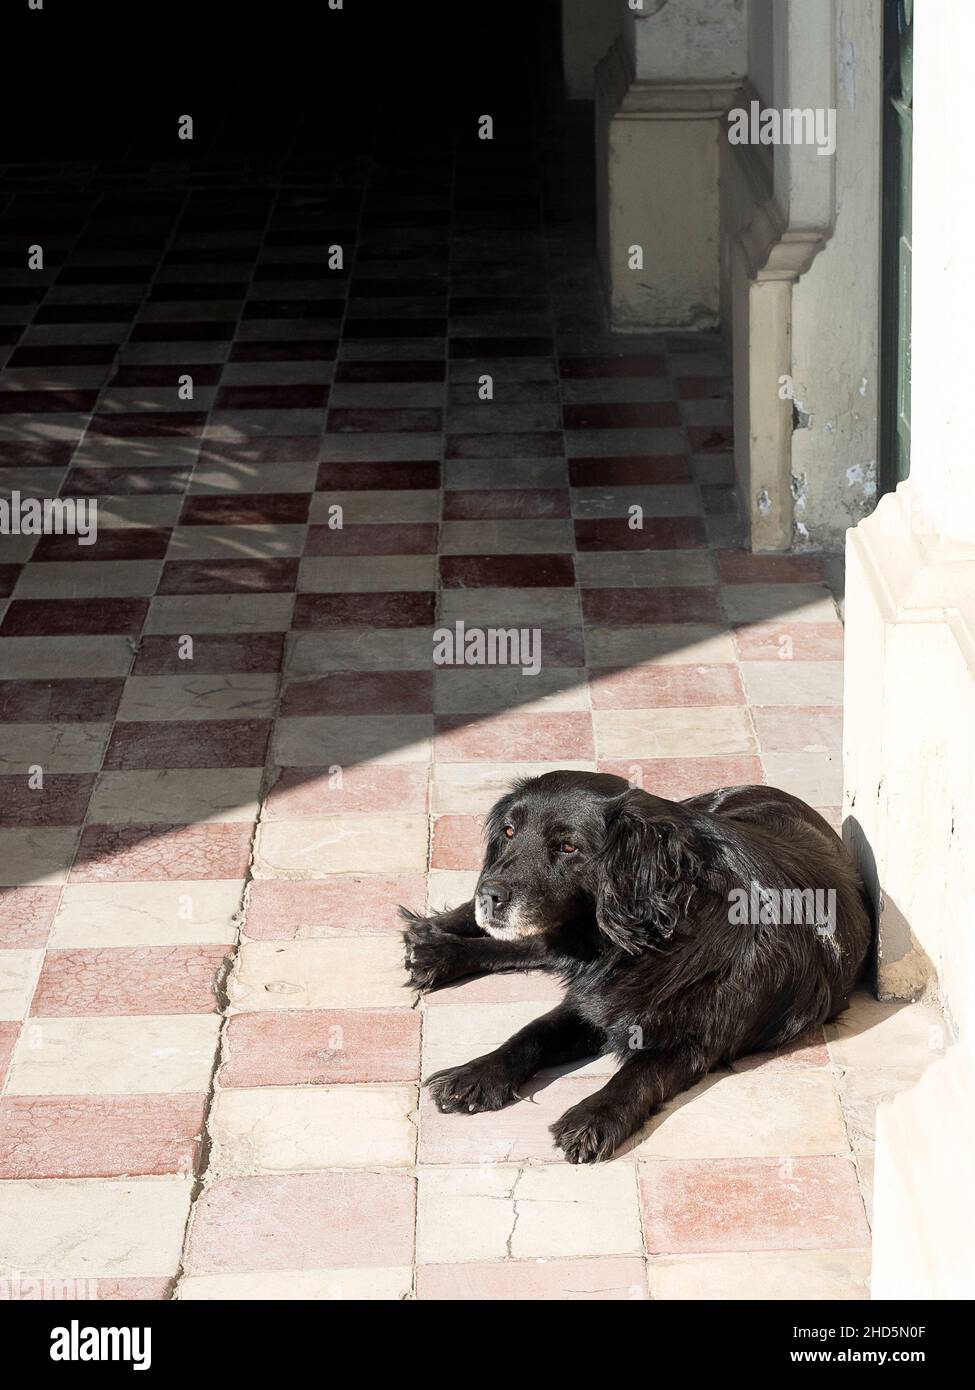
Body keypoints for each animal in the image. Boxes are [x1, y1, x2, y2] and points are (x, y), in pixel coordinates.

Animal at [400, 772, 873, 1162]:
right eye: (510, 831)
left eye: (568, 846)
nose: (490, 894)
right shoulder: (591, 1002)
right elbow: (531, 1032)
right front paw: (476, 1075)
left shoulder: (691, 1043)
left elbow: (636, 1075)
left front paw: (592, 1117)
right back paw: (434, 942)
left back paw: (435, 950)